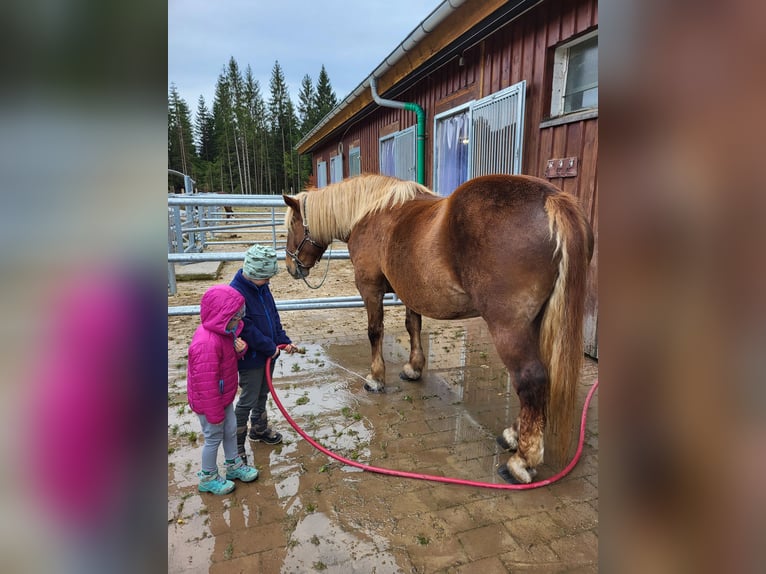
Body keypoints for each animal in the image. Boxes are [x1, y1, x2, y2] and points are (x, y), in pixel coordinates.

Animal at [282, 174, 593, 484]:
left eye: (292, 225)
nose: (291, 267)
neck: (369, 212)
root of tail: (552, 199)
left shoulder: (370, 288)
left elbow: (375, 331)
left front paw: (376, 378)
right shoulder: (411, 291)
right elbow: (413, 326)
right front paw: (413, 368)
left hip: (509, 327)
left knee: (530, 379)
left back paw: (522, 461)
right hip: (535, 322)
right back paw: (513, 436)